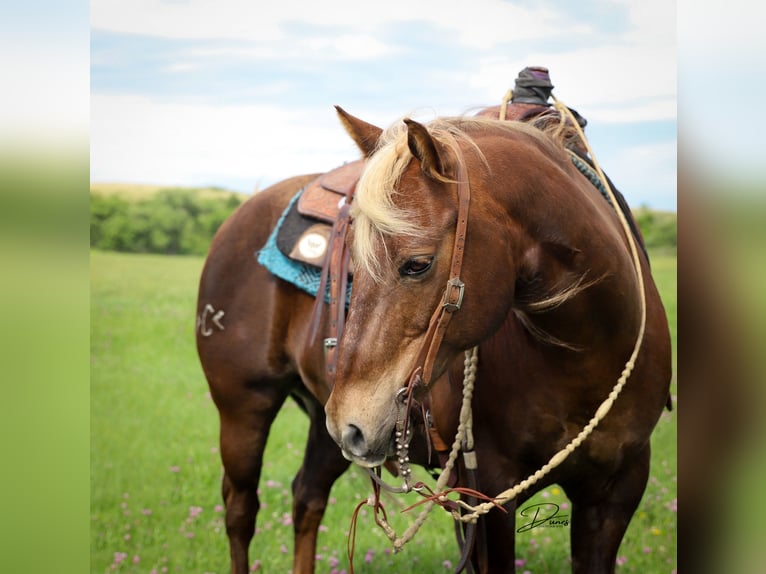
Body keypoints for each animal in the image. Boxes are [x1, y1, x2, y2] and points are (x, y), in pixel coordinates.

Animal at [324, 106, 672, 572]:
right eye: (354, 266)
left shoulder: (617, 492)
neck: (584, 357)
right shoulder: (486, 498)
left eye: (417, 264)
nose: (347, 424)